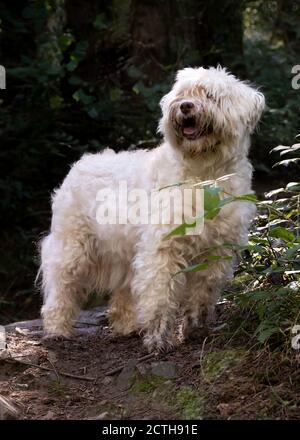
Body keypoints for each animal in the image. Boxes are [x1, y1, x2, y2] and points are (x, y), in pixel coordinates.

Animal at [39, 66, 264, 350]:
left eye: (210, 95)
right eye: (182, 94)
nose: (185, 106)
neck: (205, 174)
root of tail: (79, 164)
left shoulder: (215, 252)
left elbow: (201, 295)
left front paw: (195, 329)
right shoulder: (162, 248)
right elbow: (160, 295)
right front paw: (158, 338)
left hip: (124, 250)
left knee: (123, 294)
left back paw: (129, 327)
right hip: (72, 249)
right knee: (60, 290)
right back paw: (57, 330)